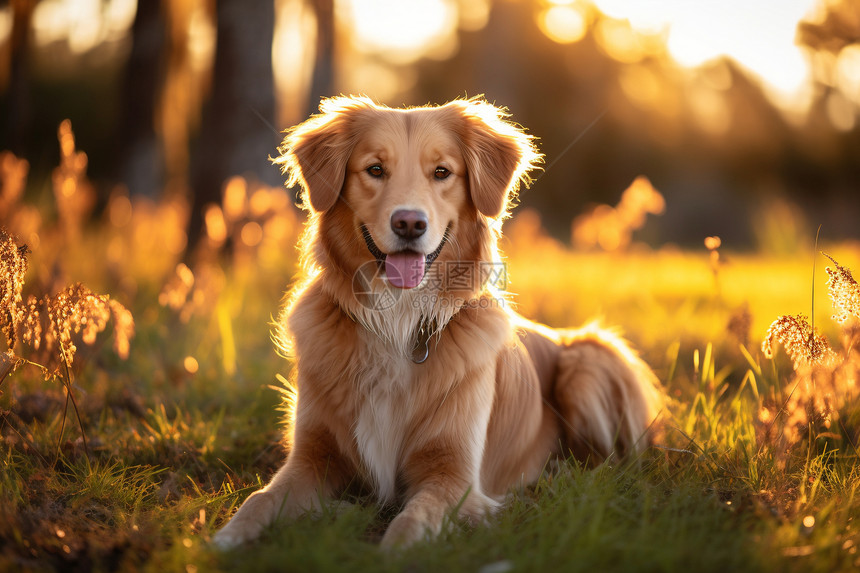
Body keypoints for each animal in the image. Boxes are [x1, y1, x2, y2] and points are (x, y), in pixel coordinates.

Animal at [213, 96, 660, 548]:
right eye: (375, 169)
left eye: (442, 172)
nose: (409, 223)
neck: (399, 318)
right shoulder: (311, 457)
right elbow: (260, 500)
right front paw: (225, 541)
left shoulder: (454, 475)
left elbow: (412, 521)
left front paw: (389, 551)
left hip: (590, 360)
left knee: (611, 463)